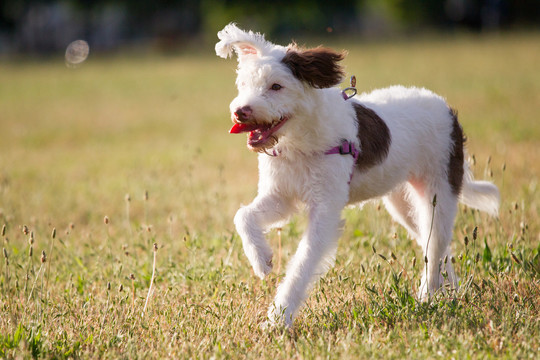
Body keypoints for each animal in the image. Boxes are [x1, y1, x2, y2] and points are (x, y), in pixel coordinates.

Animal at [214, 23, 498, 328]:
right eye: (244, 85)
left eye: (276, 86)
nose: (240, 112)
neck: (299, 141)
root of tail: (448, 111)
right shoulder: (281, 196)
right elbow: (243, 216)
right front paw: (262, 260)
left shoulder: (325, 209)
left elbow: (303, 262)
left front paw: (279, 318)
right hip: (403, 203)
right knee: (434, 243)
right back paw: (451, 288)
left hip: (438, 191)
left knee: (434, 245)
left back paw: (428, 296)